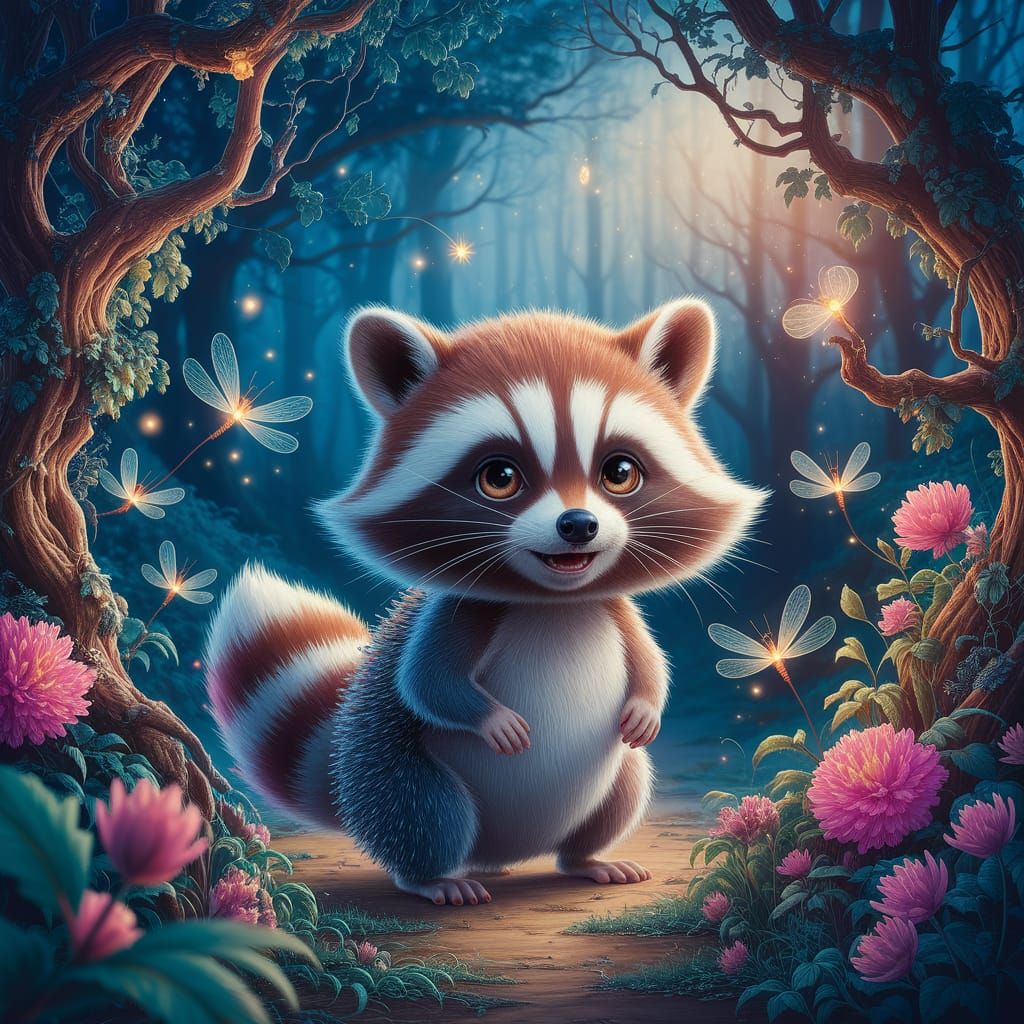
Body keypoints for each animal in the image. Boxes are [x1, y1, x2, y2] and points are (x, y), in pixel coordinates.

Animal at [205, 301, 766, 904]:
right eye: (500, 477)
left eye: (620, 472)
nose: (578, 525)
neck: (552, 601)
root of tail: (504, 855)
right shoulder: (463, 607)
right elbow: (427, 681)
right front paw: (488, 716)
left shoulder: (611, 604)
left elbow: (647, 658)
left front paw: (648, 704)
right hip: (398, 777)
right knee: (430, 814)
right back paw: (429, 877)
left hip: (606, 780)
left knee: (626, 784)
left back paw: (587, 857)